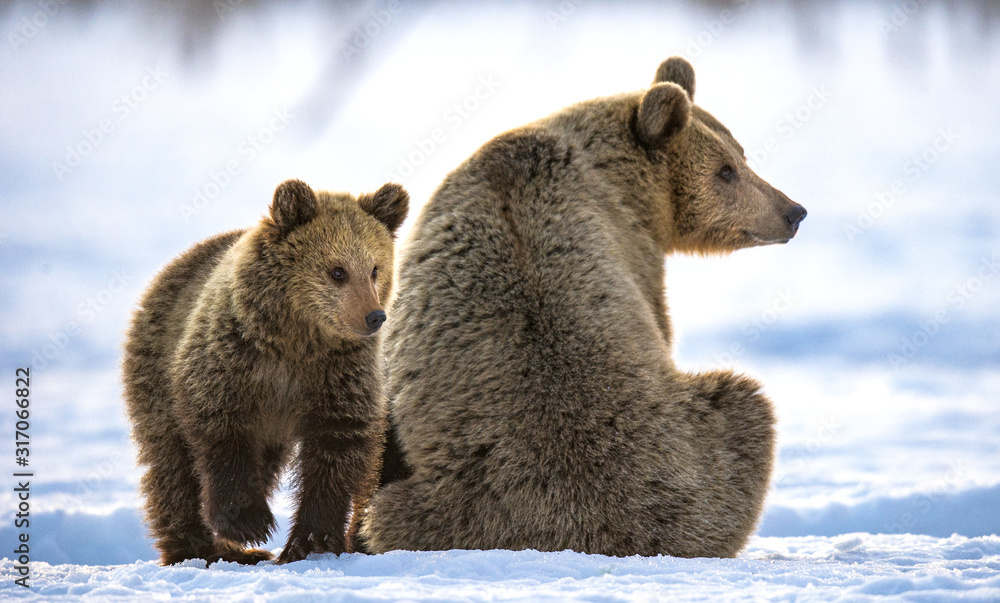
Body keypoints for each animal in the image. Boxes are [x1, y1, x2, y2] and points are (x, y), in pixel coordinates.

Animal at [122, 178, 408, 565]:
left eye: (375, 269)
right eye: (337, 271)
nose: (374, 316)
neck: (297, 339)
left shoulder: (338, 375)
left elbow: (335, 449)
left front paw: (311, 541)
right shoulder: (233, 361)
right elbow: (221, 431)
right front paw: (247, 522)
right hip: (156, 367)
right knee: (170, 464)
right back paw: (198, 548)